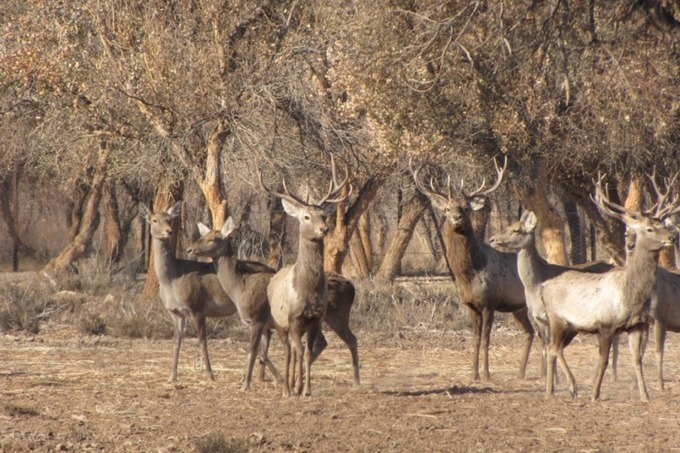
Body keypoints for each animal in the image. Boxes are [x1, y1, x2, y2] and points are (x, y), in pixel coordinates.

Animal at [137, 201, 238, 382]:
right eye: (154, 220)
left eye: (169, 219)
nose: (169, 231)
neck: (172, 279)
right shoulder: (175, 312)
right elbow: (177, 340)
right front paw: (172, 377)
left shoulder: (197, 306)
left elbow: (202, 339)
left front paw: (210, 375)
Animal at [256, 156, 350, 396]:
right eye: (306, 216)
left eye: (323, 215)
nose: (324, 229)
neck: (308, 292)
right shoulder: (293, 319)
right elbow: (297, 352)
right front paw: (295, 388)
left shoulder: (316, 319)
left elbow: (307, 353)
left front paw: (306, 389)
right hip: (279, 322)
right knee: (288, 351)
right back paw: (286, 388)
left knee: (294, 350)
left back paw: (293, 386)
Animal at [410, 157, 536, 380]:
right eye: (447, 209)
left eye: (466, 208)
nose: (456, 218)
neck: (471, 275)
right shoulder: (470, 305)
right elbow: (475, 339)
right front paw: (473, 374)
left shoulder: (489, 302)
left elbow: (486, 339)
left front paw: (486, 374)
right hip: (519, 308)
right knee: (531, 333)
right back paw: (521, 373)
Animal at [488, 210, 616, 380]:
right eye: (509, 225)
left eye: (516, 230)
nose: (492, 239)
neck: (535, 285)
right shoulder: (539, 318)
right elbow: (545, 347)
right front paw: (550, 379)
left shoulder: (552, 316)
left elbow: (551, 347)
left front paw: (555, 379)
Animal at [540, 175, 676, 400]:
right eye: (649, 229)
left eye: (663, 225)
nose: (671, 237)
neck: (631, 297)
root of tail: (543, 288)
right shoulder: (605, 324)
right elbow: (603, 360)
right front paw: (594, 394)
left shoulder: (637, 325)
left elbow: (637, 360)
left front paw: (645, 395)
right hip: (558, 319)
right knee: (553, 348)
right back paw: (570, 387)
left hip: (572, 327)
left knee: (553, 348)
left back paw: (551, 391)